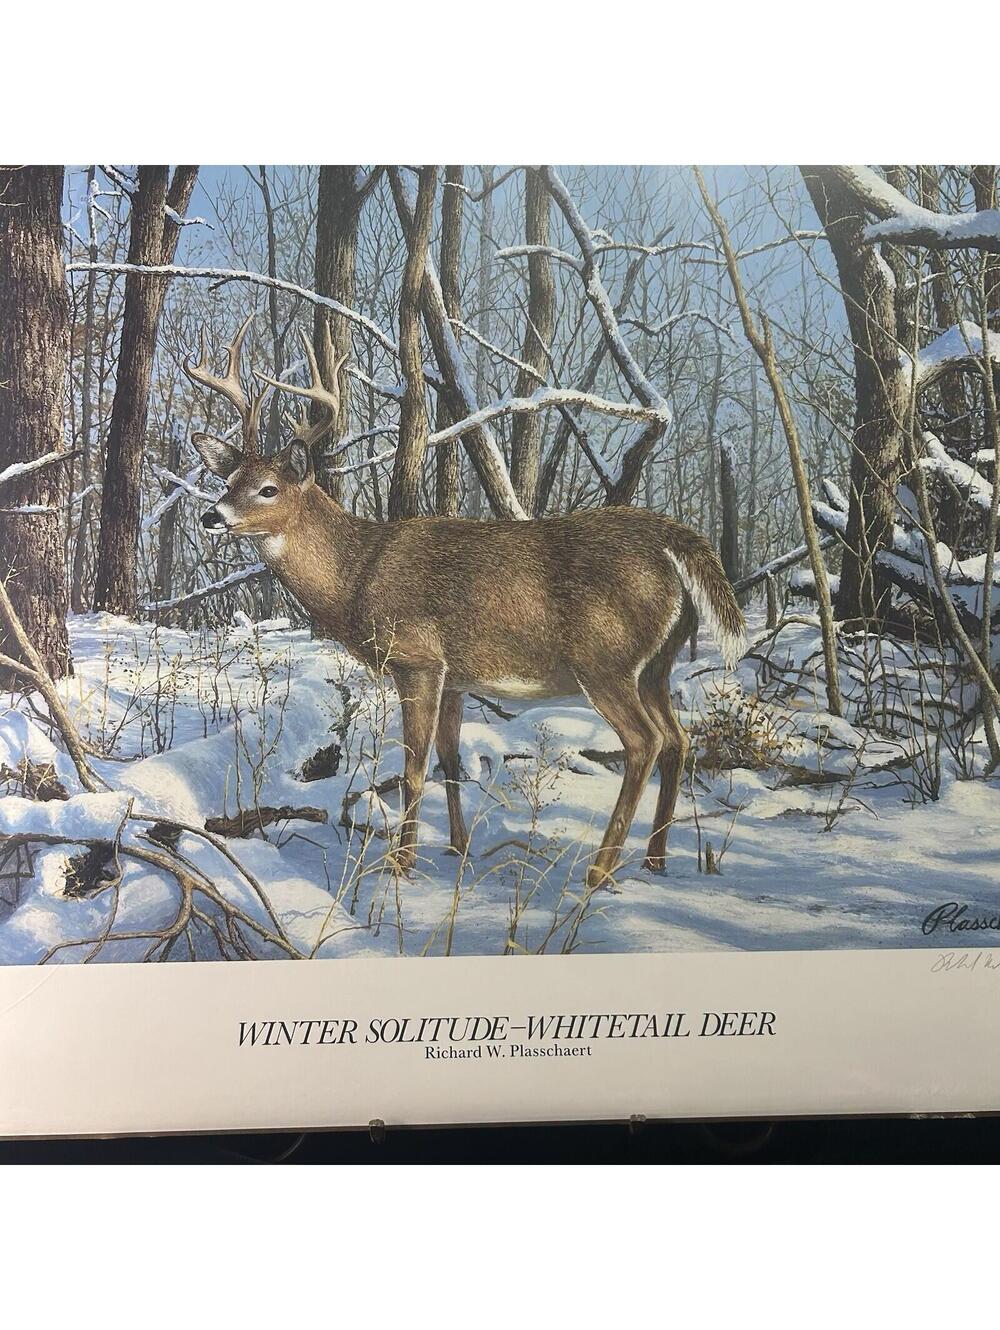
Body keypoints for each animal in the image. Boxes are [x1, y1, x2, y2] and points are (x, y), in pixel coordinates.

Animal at [184, 318, 746, 890]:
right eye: (227, 481)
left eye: (268, 488)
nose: (210, 516)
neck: (358, 574)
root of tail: (675, 539)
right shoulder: (454, 676)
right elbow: (449, 761)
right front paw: (458, 847)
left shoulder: (417, 658)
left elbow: (413, 769)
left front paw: (401, 865)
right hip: (657, 662)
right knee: (678, 739)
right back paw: (655, 859)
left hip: (605, 658)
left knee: (644, 742)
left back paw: (599, 869)